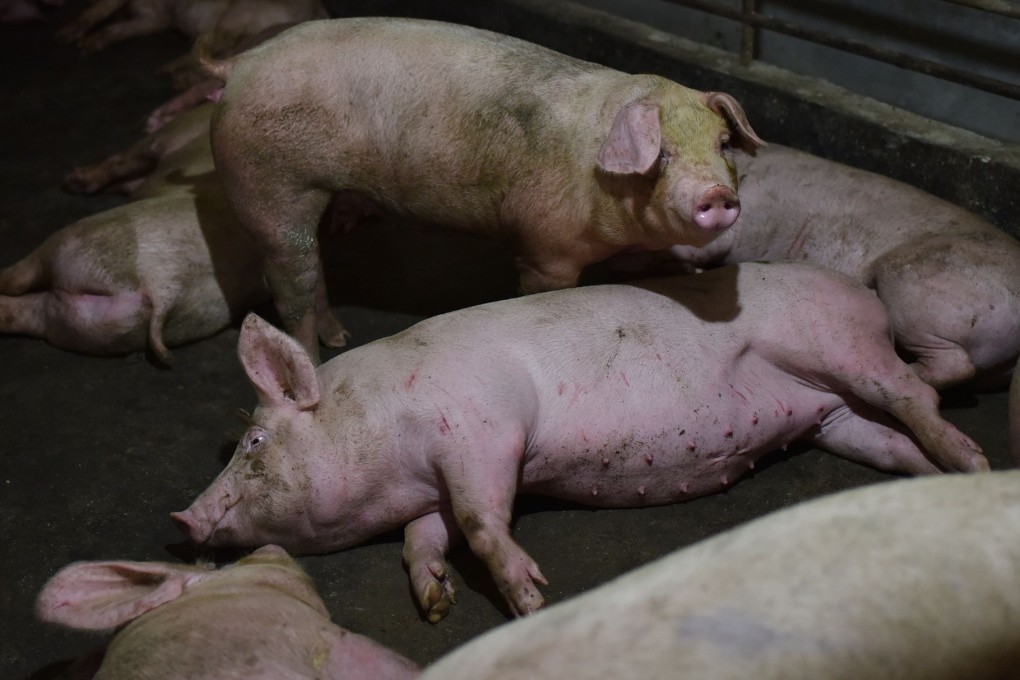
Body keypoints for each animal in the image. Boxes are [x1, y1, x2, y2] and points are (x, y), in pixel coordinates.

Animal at [172, 261, 987, 623]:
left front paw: (531, 599)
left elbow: (482, 520)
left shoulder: (484, 432)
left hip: (838, 347)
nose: (183, 519)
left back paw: (973, 462)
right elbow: (422, 535)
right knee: (894, 435)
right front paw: (435, 603)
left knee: (917, 391)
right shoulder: (434, 483)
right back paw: (937, 480)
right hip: (833, 418)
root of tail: (866, 295)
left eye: (253, 441)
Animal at [201, 17, 765, 360]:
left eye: (723, 145)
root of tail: (238, 65)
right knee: (288, 281)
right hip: (270, 186)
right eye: (662, 154)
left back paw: (341, 337)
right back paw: (318, 358)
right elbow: (545, 288)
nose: (717, 195)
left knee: (314, 265)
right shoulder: (545, 248)